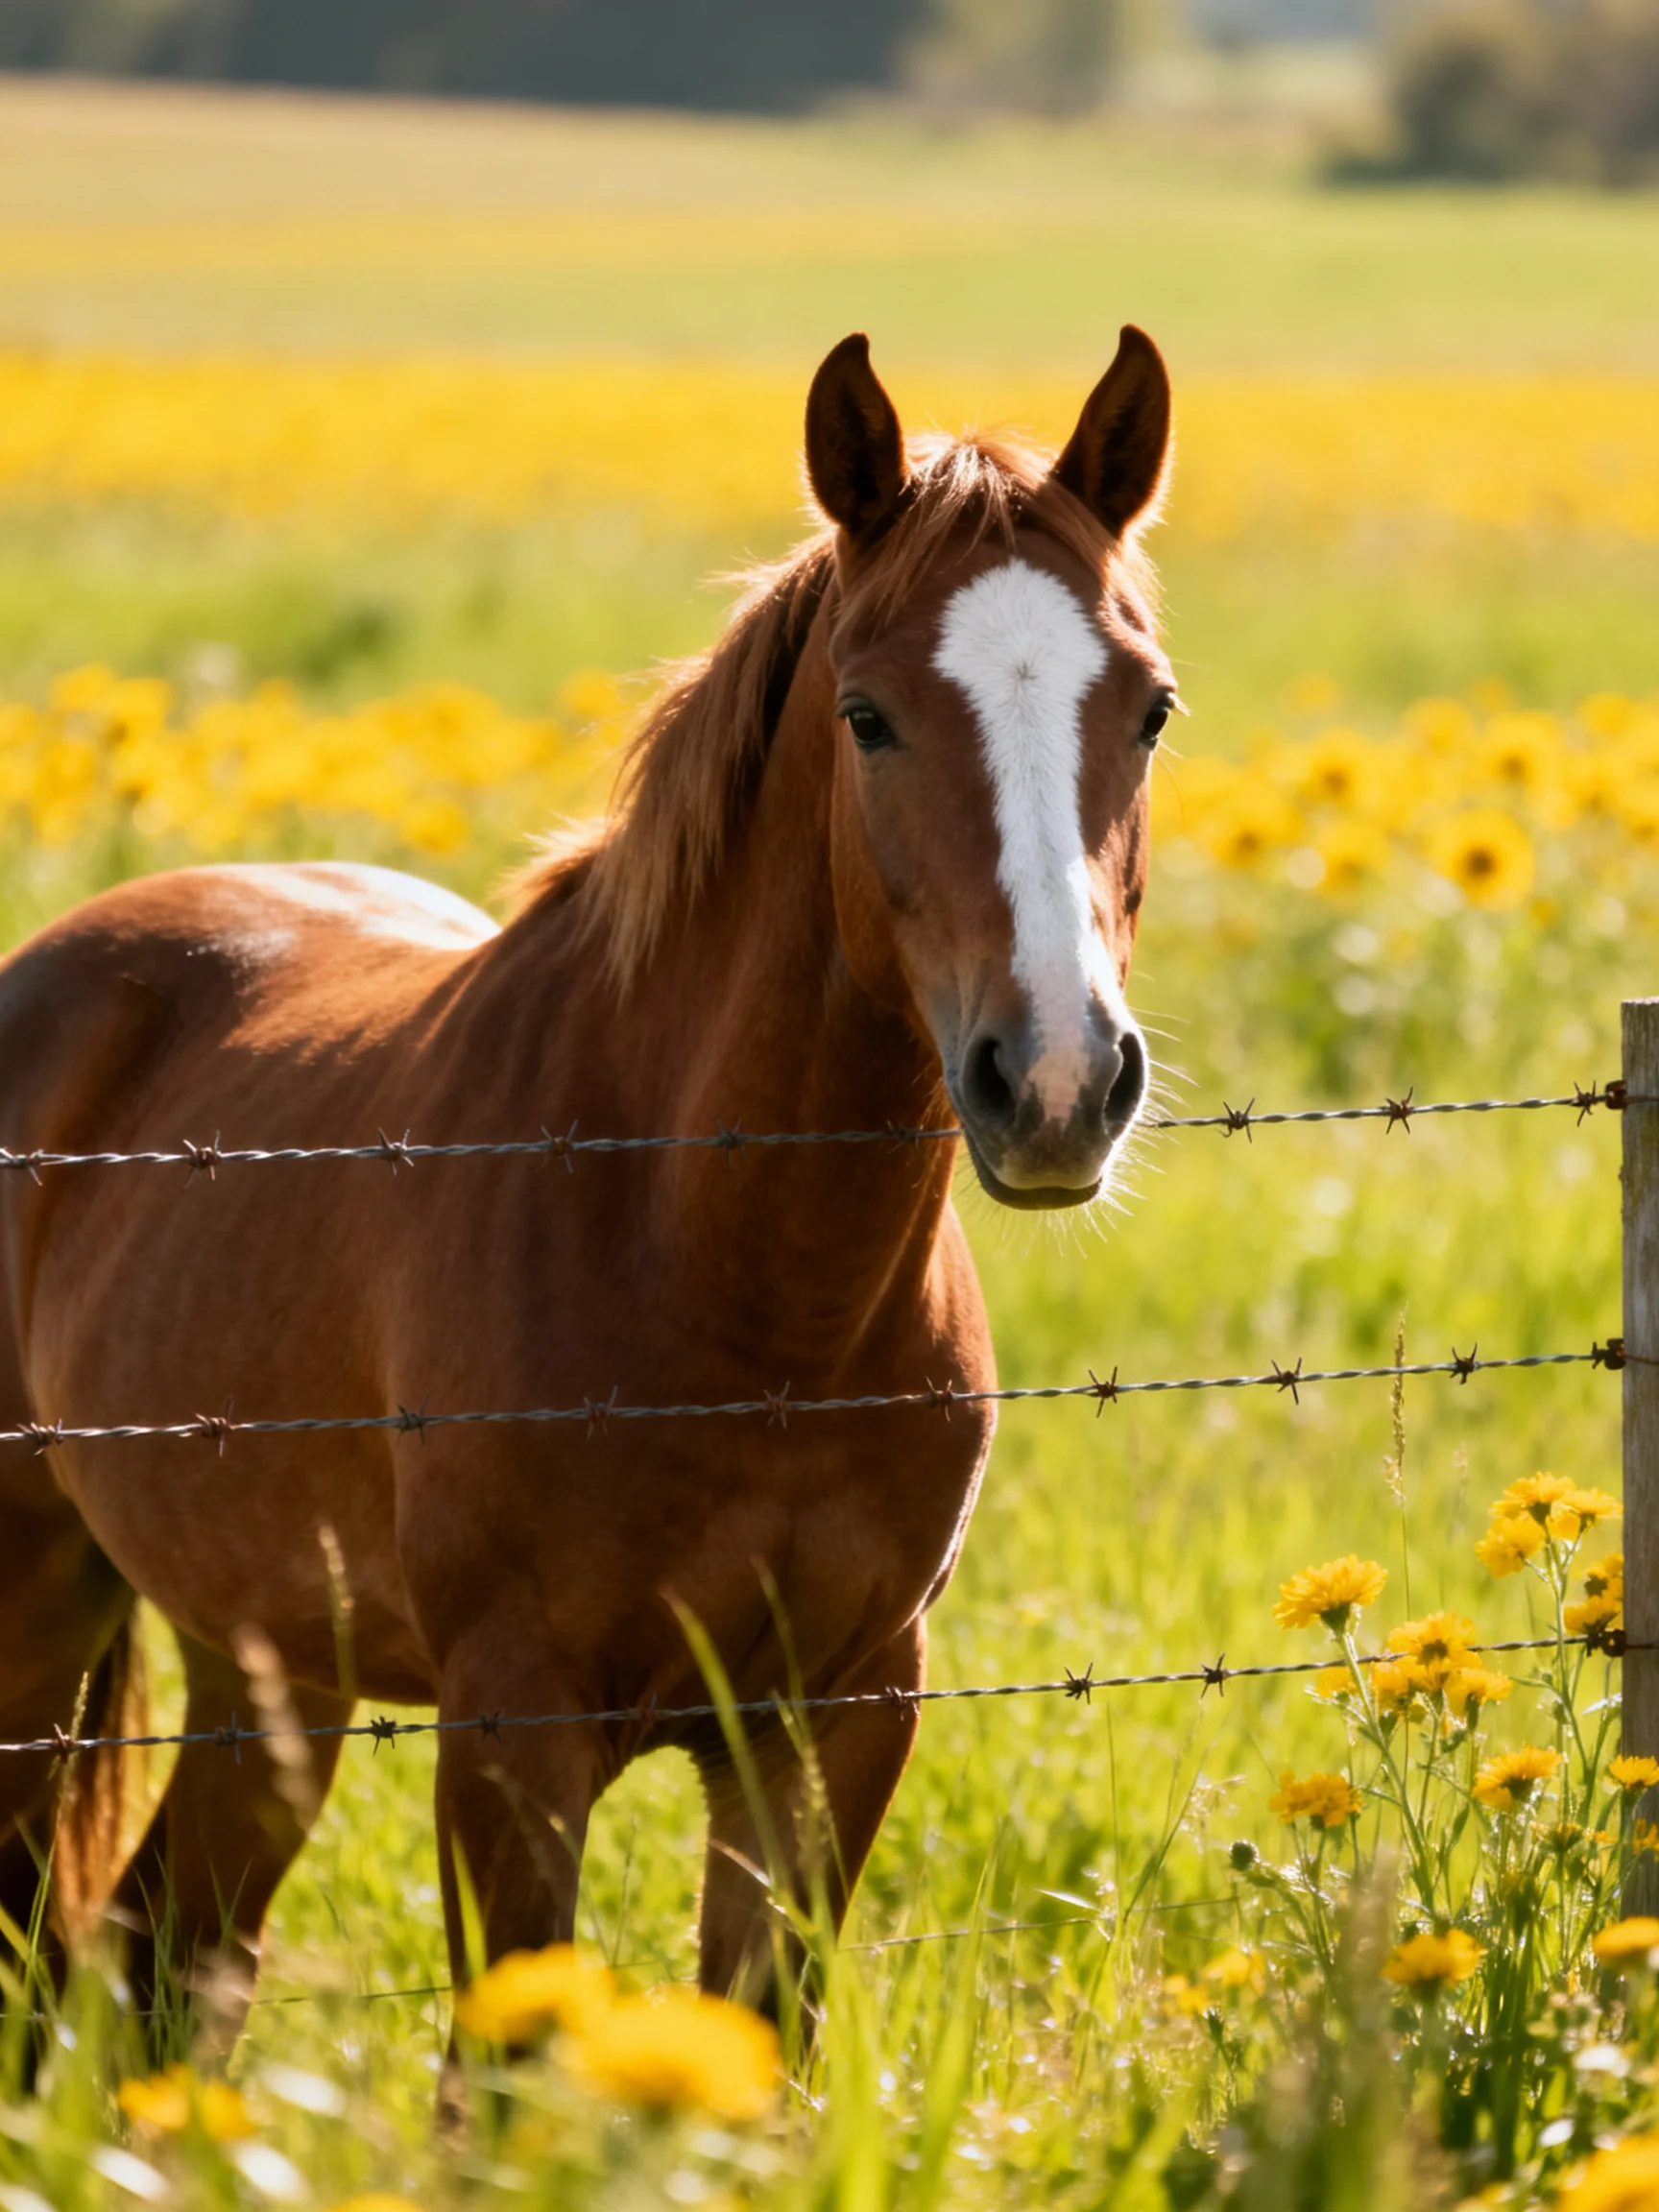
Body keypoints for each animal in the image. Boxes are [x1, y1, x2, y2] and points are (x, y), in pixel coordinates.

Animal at [0, 327, 1176, 2037]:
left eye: (1147, 709)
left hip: (267, 1671)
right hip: (34, 1613)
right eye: (868, 715)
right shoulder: (517, 1735)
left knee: (173, 1951)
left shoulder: (835, 1721)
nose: (1060, 1084)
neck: (733, 1290)